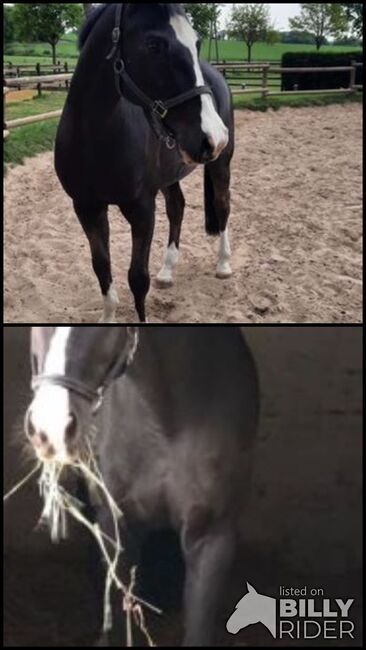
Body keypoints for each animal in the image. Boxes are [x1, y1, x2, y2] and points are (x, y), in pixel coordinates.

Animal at [55, 2, 236, 322]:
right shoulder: (87, 208)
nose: (213, 135)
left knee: (222, 205)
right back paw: (167, 271)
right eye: (154, 45)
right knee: (177, 207)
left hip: (220, 164)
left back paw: (223, 265)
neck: (94, 139)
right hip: (170, 176)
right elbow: (102, 268)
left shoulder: (141, 209)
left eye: (196, 42)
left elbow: (138, 278)